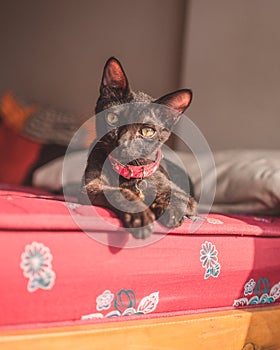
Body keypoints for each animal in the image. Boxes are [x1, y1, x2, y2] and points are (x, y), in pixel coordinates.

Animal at [79, 57, 197, 239]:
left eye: (147, 131)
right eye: (112, 118)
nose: (123, 142)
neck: (129, 173)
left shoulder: (188, 199)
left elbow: (174, 196)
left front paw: (170, 212)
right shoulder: (90, 187)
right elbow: (118, 192)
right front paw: (141, 215)